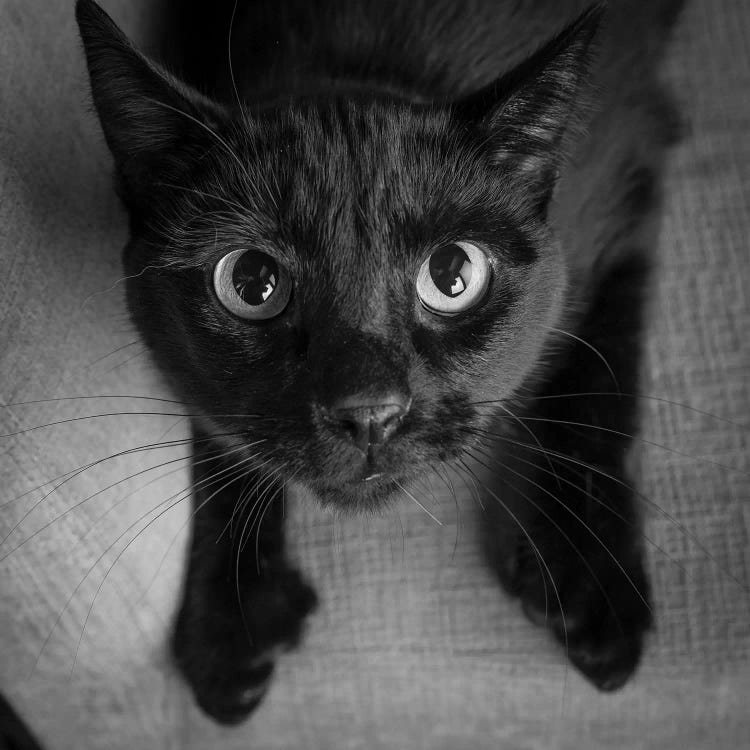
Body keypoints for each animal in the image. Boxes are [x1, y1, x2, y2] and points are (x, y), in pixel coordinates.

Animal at [76, 0, 688, 728]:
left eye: (453, 275)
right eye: (250, 283)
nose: (368, 411)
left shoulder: (627, 191)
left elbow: (596, 383)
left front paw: (592, 581)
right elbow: (221, 434)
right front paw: (228, 620)